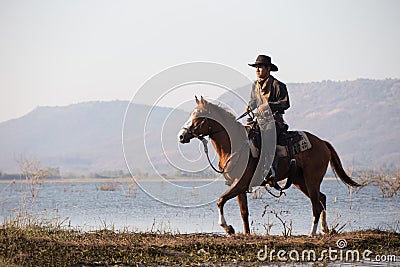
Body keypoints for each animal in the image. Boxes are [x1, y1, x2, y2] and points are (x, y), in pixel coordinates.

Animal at [178, 96, 360, 237]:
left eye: (198, 116)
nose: (181, 136)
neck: (235, 146)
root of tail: (322, 142)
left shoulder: (241, 184)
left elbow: (220, 201)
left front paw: (229, 228)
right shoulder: (238, 186)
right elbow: (243, 212)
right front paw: (246, 233)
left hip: (312, 179)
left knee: (316, 205)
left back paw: (312, 233)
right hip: (300, 180)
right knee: (322, 199)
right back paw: (325, 229)